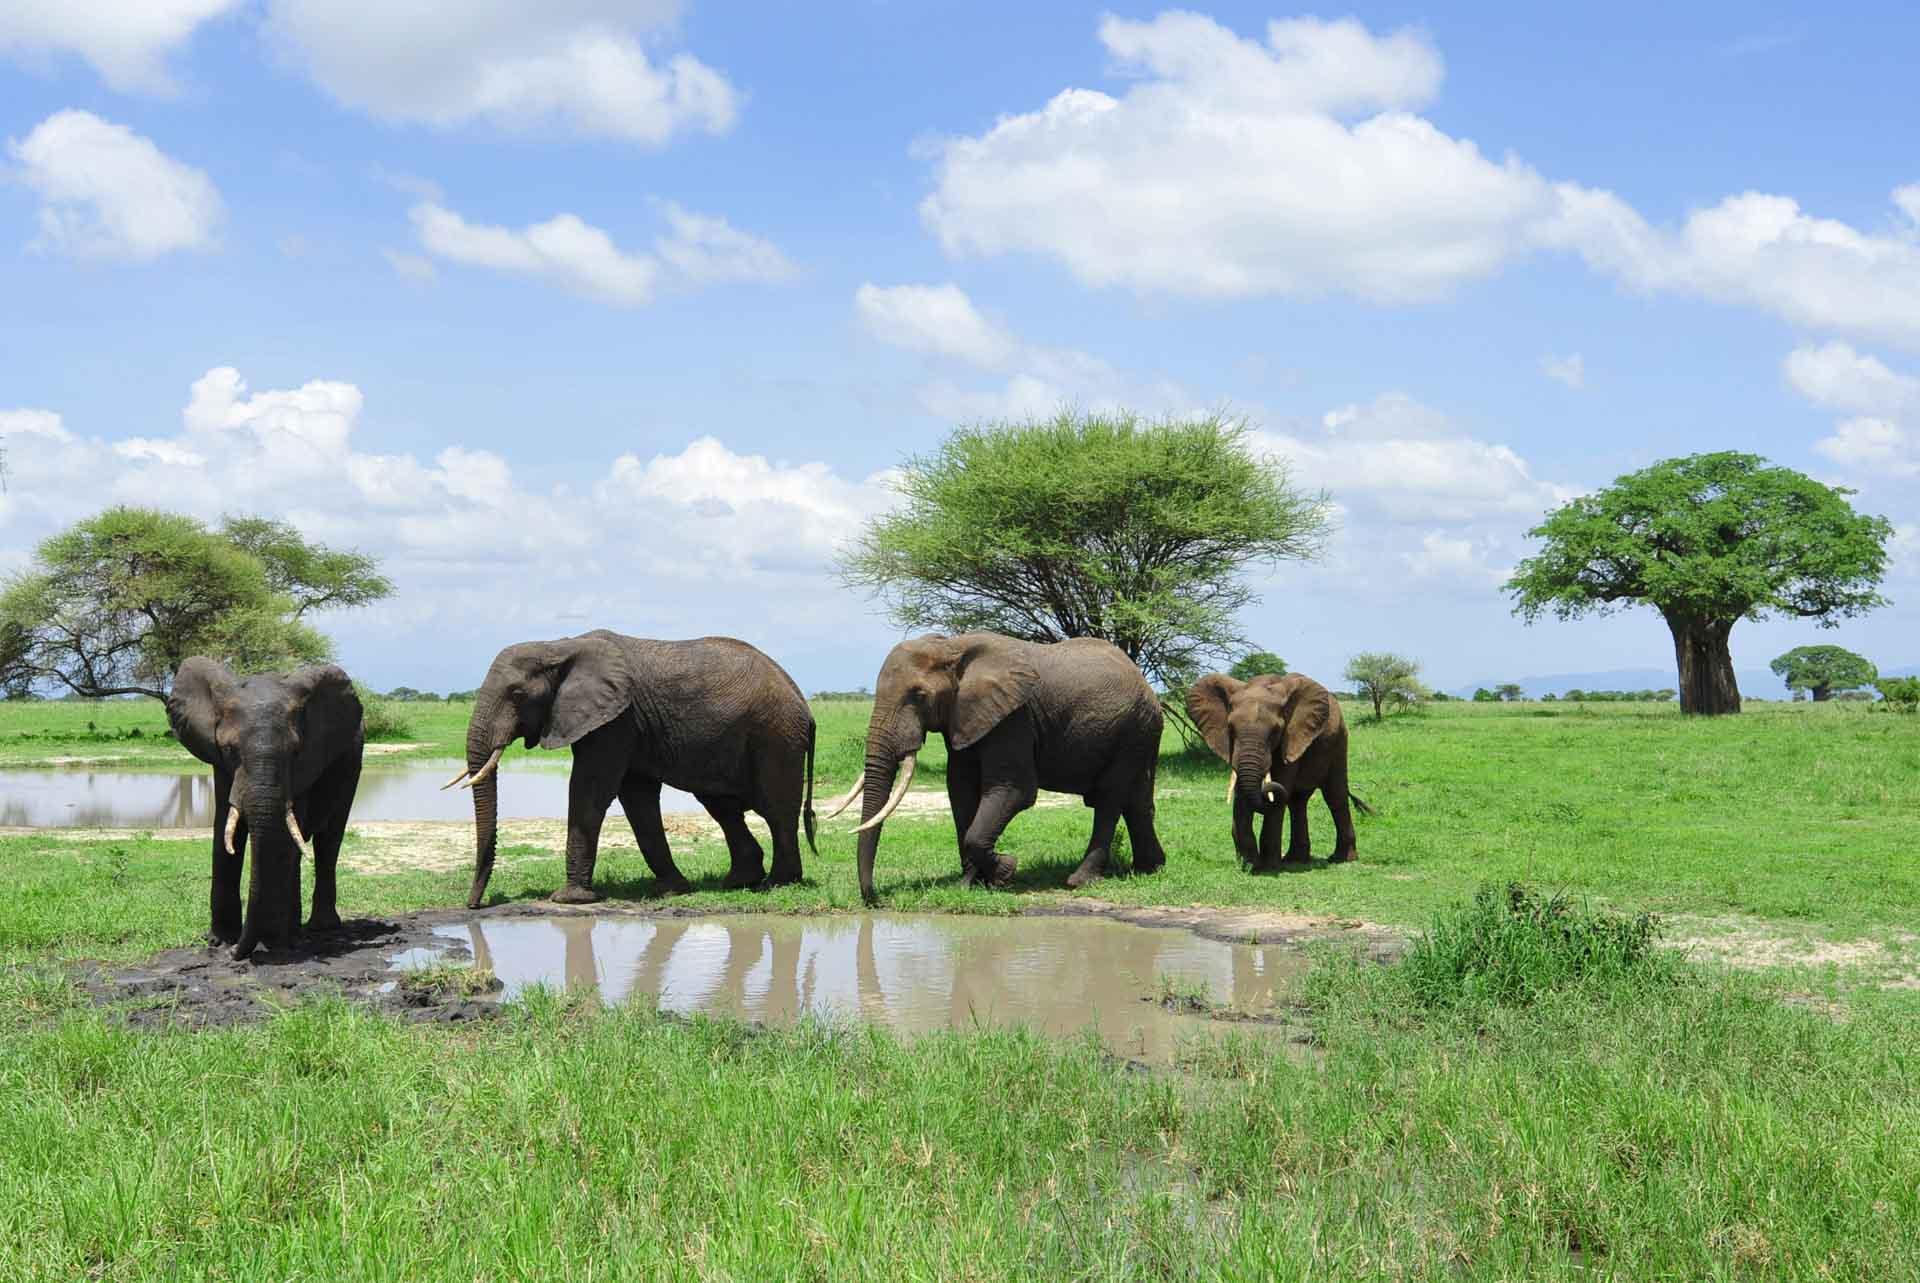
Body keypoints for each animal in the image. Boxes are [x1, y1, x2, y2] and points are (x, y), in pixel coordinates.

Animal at [167, 660, 364, 952]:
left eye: (295, 752)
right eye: (229, 749)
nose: (235, 952)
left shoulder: (303, 767)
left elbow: (284, 836)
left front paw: (273, 941)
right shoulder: (221, 764)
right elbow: (225, 826)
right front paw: (219, 940)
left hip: (351, 766)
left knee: (328, 840)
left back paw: (315, 929)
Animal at [455, 629, 817, 906]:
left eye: (516, 694)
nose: (475, 905)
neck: (558, 647)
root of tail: (802, 700)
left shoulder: (616, 720)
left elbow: (590, 790)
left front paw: (569, 900)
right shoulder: (626, 724)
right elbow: (637, 798)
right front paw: (669, 890)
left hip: (775, 736)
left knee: (776, 810)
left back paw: (778, 883)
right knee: (723, 807)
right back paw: (740, 882)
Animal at [829, 633, 1167, 902]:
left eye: (919, 695)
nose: (873, 899)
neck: (952, 646)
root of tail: (1144, 682)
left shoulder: (1013, 717)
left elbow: (1014, 790)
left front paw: (1006, 871)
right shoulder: (965, 716)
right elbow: (960, 790)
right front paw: (969, 884)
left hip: (1131, 729)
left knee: (1109, 798)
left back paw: (1079, 880)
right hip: (1140, 733)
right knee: (1136, 799)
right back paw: (1149, 868)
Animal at [1175, 672, 1374, 871]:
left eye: (1276, 731)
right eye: (1230, 728)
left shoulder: (1291, 737)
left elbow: (1280, 785)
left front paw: (1267, 867)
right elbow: (1242, 794)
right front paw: (1250, 865)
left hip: (1339, 741)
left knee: (1334, 795)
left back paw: (1341, 858)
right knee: (1297, 802)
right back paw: (1295, 859)